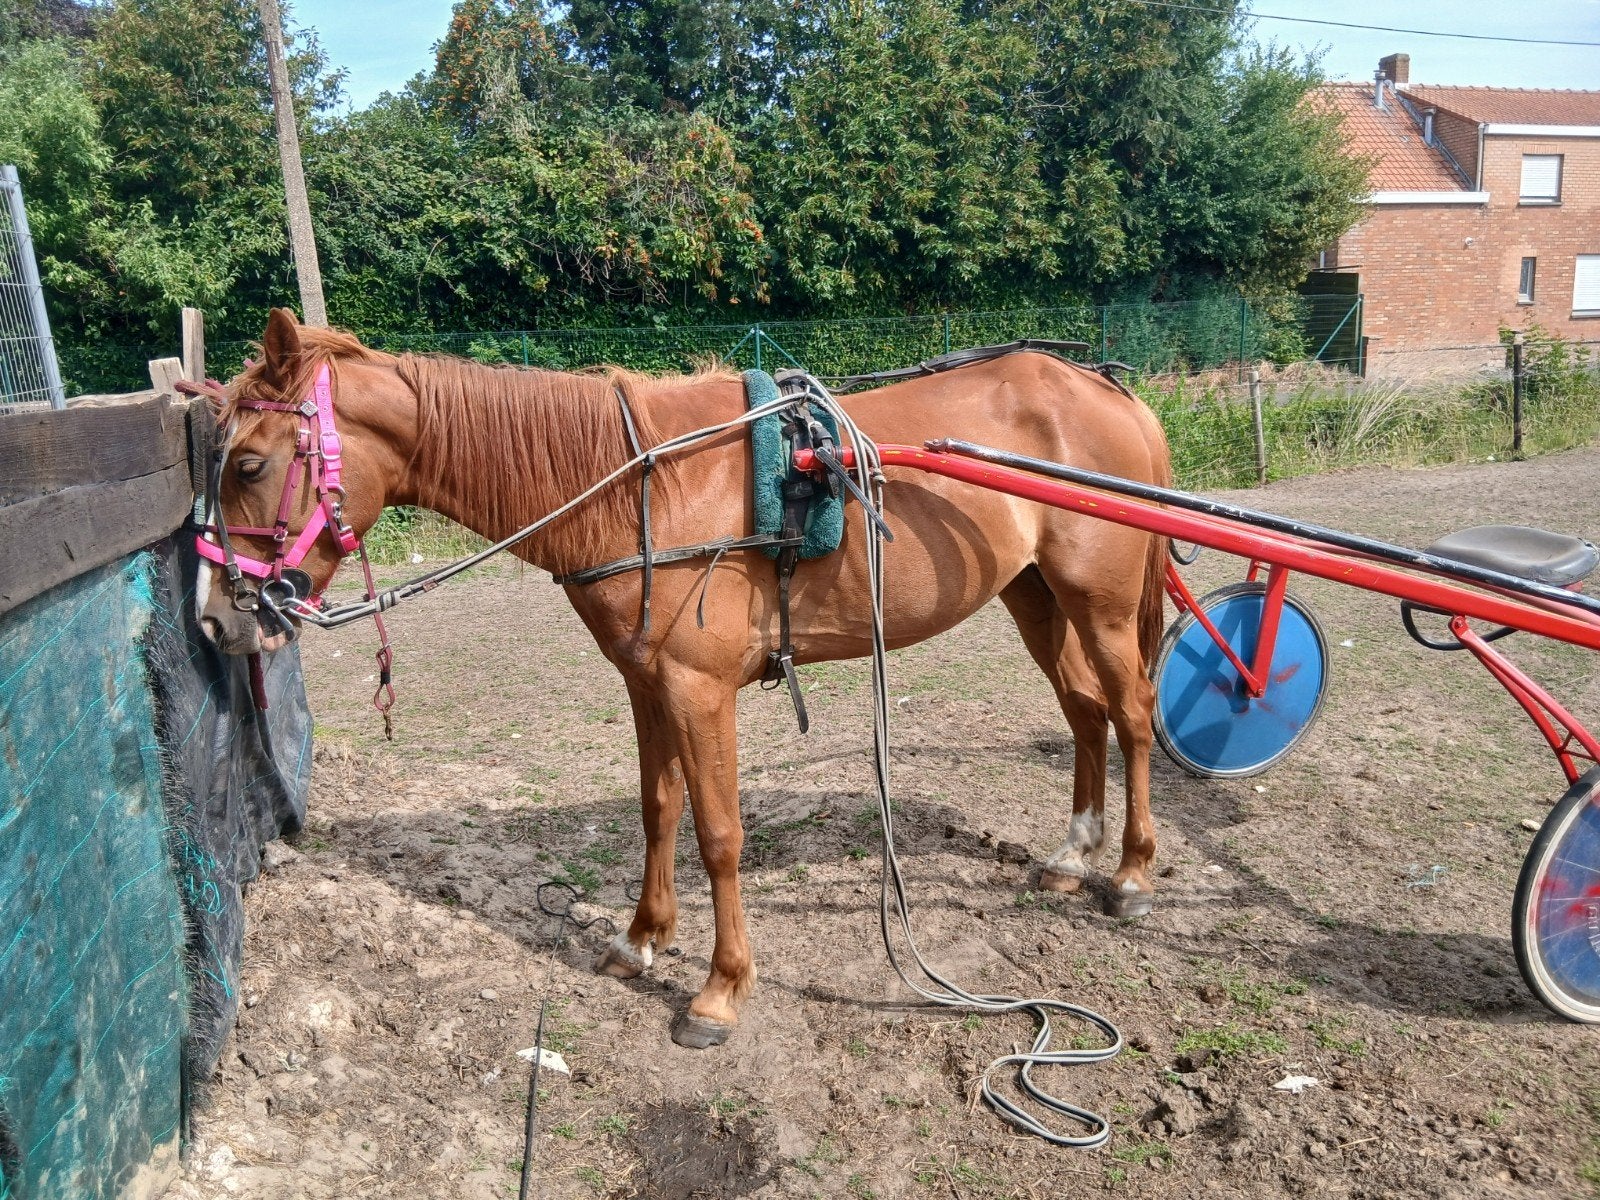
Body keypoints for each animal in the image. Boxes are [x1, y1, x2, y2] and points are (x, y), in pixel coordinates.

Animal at [199, 308, 1173, 1048]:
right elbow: (658, 809)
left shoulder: (701, 692)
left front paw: (719, 989)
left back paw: (1130, 874)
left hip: (1099, 604)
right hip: (1035, 596)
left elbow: (720, 834)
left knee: (1130, 711)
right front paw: (641, 939)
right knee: (1084, 711)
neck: (640, 487)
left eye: (248, 464)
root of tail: (1107, 390)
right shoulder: (646, 684)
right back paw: (1072, 854)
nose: (218, 619)